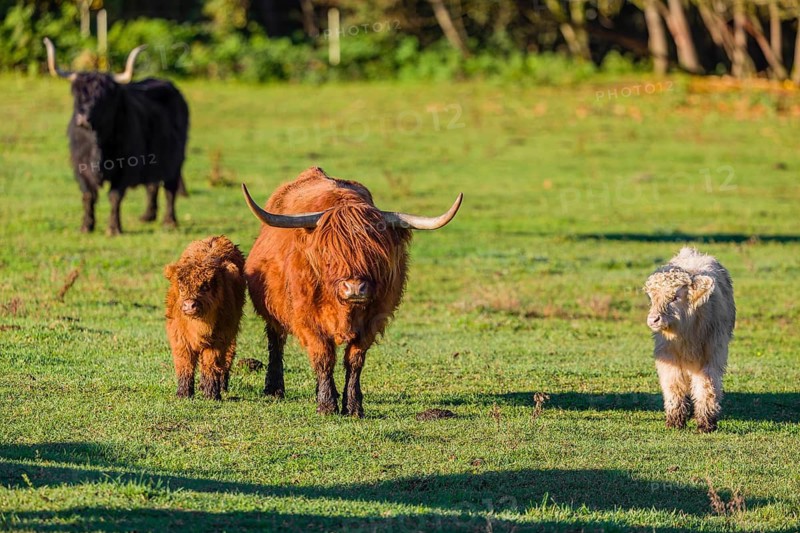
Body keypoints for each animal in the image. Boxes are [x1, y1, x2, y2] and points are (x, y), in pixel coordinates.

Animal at [44, 38, 189, 235]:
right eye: (76, 93)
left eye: (102, 97)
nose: (82, 117)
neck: (97, 145)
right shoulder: (80, 166)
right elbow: (88, 195)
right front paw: (86, 226)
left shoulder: (126, 167)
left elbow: (115, 196)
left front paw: (113, 228)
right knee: (152, 185)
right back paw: (147, 216)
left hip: (175, 159)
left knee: (170, 188)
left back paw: (170, 221)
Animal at [165, 235, 246, 400]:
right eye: (181, 288)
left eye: (205, 287)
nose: (189, 305)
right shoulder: (179, 339)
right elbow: (185, 364)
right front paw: (183, 394)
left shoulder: (219, 339)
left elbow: (211, 365)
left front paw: (211, 394)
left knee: (227, 357)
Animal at [242, 167, 462, 417]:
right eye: (329, 253)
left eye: (375, 254)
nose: (355, 288)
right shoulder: (307, 319)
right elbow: (323, 357)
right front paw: (327, 405)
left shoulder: (373, 321)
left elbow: (355, 360)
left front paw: (353, 405)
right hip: (273, 310)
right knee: (276, 341)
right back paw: (274, 389)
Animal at [644, 247, 736, 432]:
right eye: (651, 297)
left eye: (675, 296)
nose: (653, 319)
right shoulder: (667, 356)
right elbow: (674, 385)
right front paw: (675, 421)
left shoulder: (712, 355)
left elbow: (707, 386)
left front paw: (706, 424)